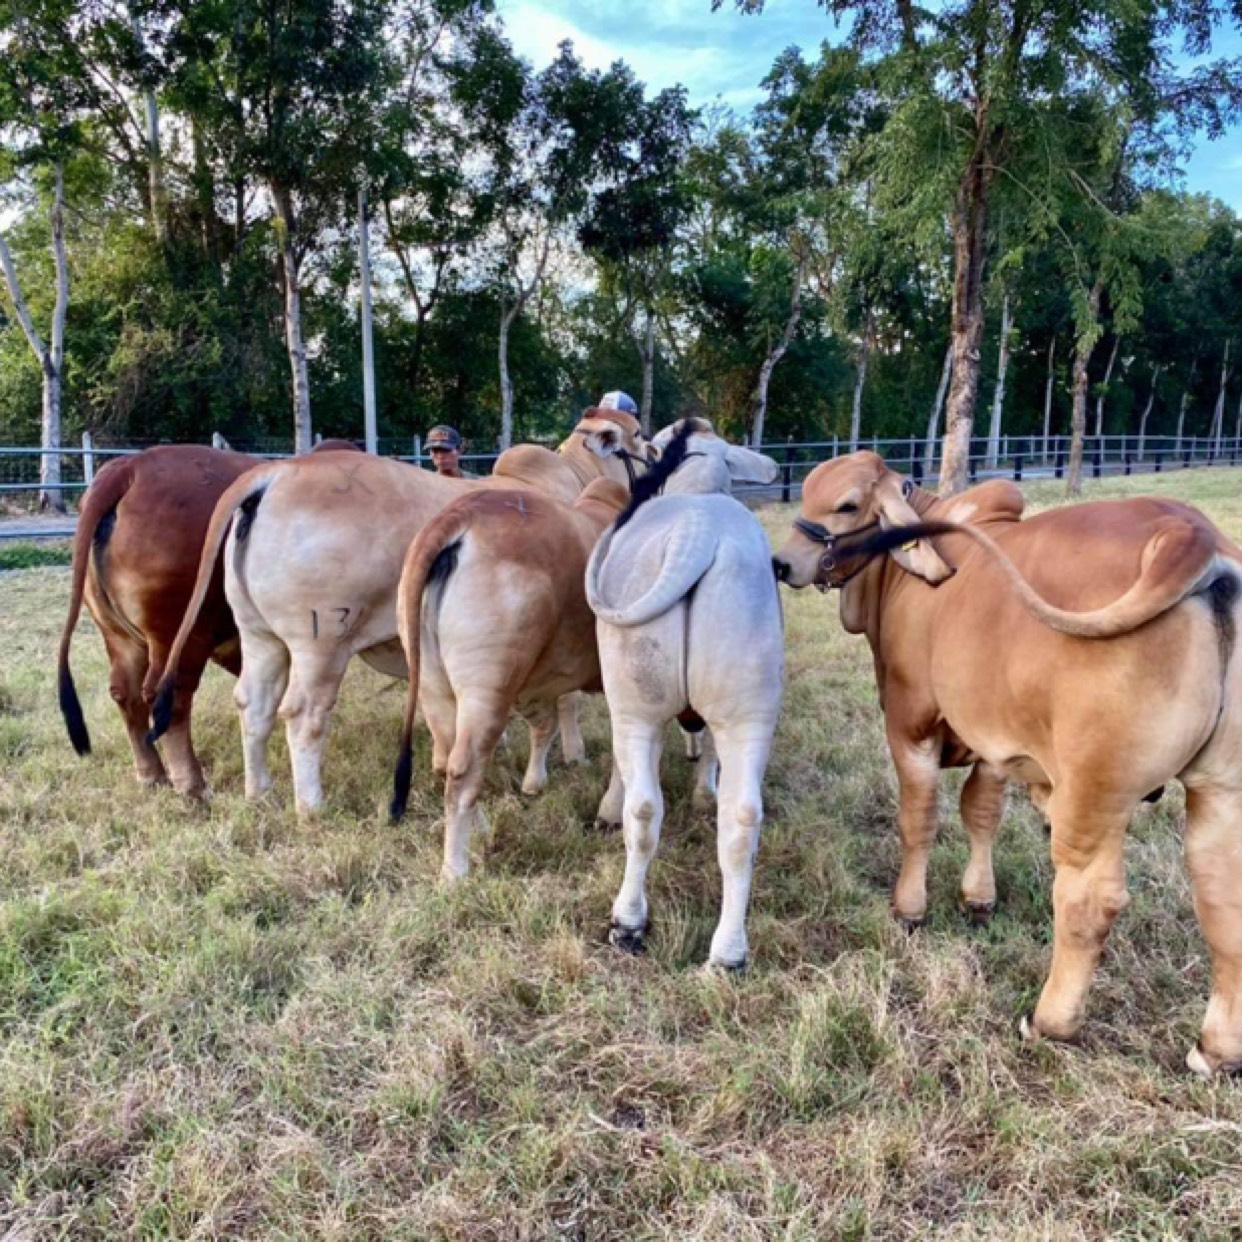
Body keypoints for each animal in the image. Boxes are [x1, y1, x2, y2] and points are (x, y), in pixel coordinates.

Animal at [150, 407, 645, 814]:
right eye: (638, 436)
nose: (656, 448)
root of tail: (274, 474)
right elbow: (566, 699)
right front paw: (573, 755)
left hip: (260, 635)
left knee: (253, 704)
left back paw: (260, 794)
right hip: (321, 643)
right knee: (303, 715)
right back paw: (311, 807)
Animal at [389, 476, 630, 884]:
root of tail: (458, 516)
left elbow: (547, 724)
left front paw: (536, 782)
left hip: (435, 686)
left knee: (446, 761)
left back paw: (481, 830)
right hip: (488, 690)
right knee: (463, 769)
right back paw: (454, 871)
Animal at [586, 419, 779, 968]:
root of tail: (698, 534)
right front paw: (702, 793)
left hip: (636, 703)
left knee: (643, 809)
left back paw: (628, 922)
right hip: (748, 707)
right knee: (741, 821)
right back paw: (728, 954)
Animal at [775, 452, 1242, 1073]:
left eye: (847, 504)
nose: (782, 562)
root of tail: (1190, 534)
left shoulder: (909, 726)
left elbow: (918, 820)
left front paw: (909, 909)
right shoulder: (998, 746)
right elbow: (981, 814)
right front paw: (978, 899)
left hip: (1094, 793)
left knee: (1088, 901)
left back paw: (1050, 1021)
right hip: (1222, 790)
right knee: (1224, 900)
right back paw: (1216, 1051)